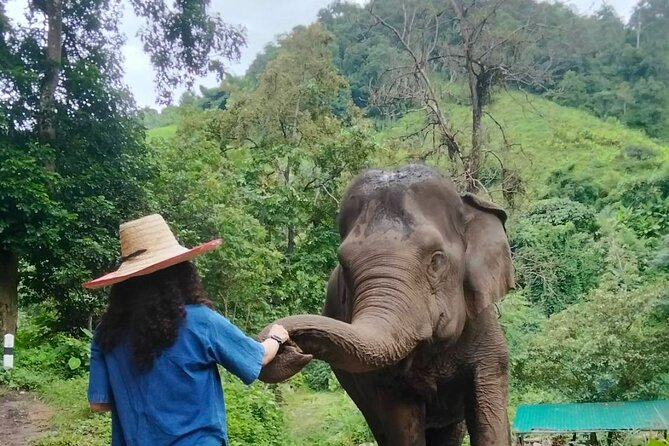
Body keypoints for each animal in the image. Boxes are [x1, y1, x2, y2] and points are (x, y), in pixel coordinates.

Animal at [258, 164, 515, 446]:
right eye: (344, 265)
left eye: (436, 260)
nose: (288, 344)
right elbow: (401, 422)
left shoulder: (484, 332)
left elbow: (489, 412)